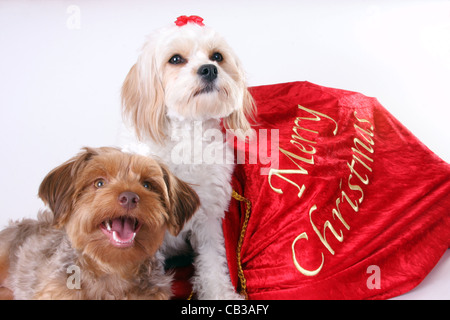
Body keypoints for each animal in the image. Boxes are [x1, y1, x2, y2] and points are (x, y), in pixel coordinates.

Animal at [119, 16, 255, 298]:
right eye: (175, 59)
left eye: (217, 56)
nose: (209, 69)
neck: (188, 137)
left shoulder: (209, 219)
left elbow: (213, 262)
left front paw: (220, 293)